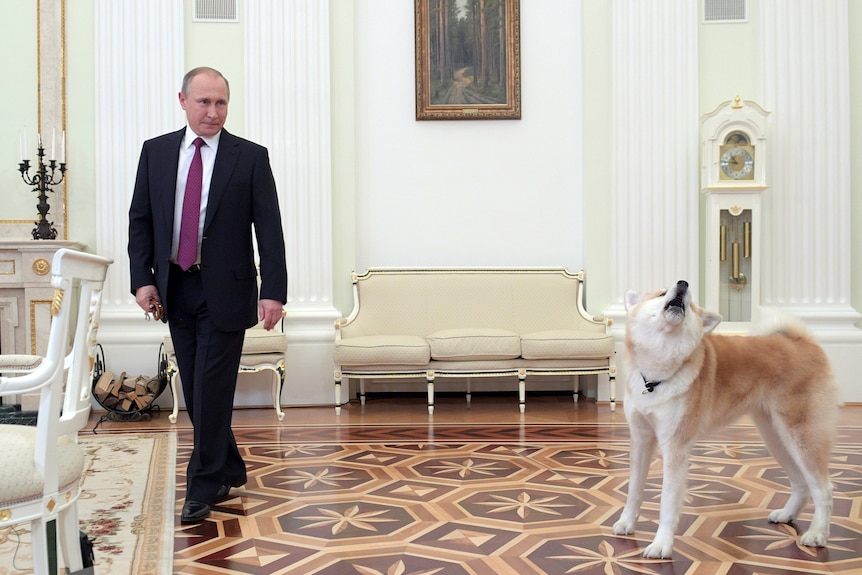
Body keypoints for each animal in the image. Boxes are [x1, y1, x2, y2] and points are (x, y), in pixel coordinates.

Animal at [616, 282, 836, 560]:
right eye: (661, 293)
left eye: (692, 303)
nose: (683, 284)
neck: (656, 376)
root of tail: (803, 342)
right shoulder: (641, 439)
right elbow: (634, 489)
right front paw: (627, 523)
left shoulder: (675, 447)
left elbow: (667, 502)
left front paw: (661, 544)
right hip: (775, 437)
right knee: (800, 482)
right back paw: (787, 515)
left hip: (801, 436)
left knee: (823, 489)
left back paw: (817, 534)